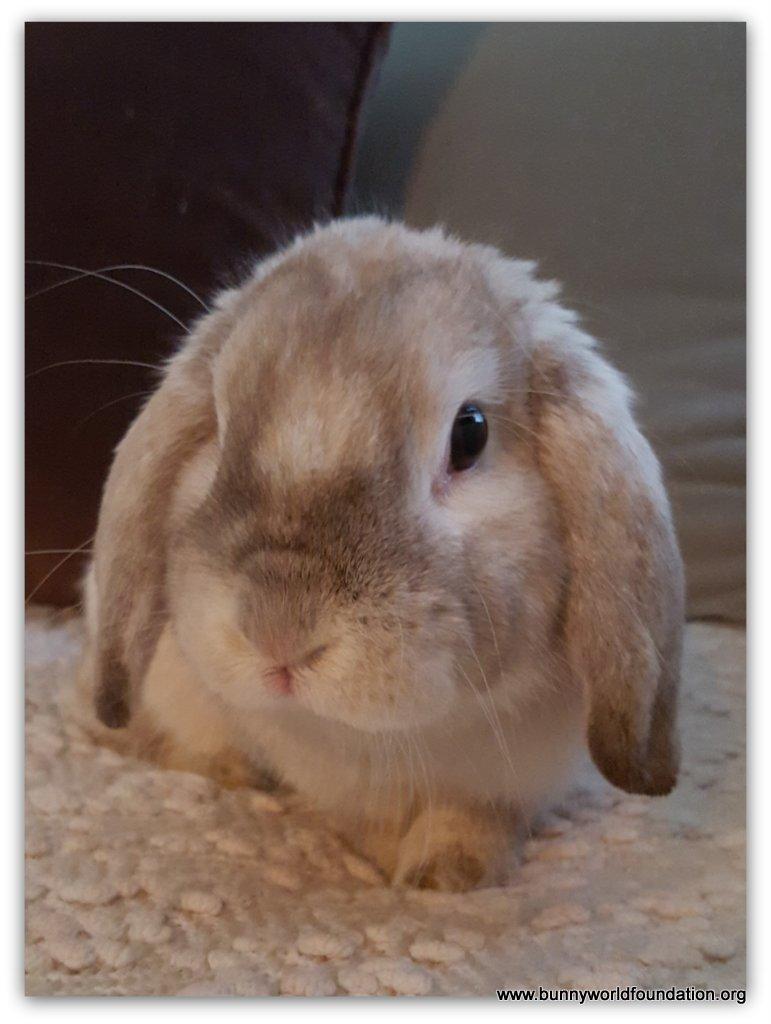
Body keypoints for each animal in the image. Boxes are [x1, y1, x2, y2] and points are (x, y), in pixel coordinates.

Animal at [79, 217, 684, 891]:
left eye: (470, 432)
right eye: (218, 421)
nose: (278, 629)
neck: (360, 737)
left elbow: (467, 818)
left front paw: (445, 875)